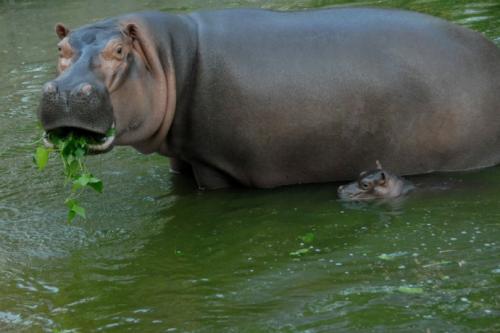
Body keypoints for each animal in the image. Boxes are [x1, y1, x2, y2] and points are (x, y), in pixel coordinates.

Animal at [38, 7, 500, 188]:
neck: (168, 57)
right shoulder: (182, 157)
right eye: (60, 49)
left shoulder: (213, 165)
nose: (65, 91)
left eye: (119, 51)